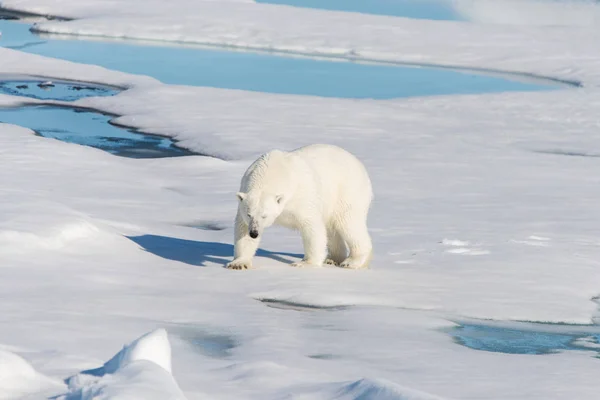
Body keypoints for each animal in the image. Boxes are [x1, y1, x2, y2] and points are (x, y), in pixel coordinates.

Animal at [227, 142, 372, 270]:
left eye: (264, 215)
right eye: (249, 214)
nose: (254, 233)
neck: (272, 171)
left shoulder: (302, 197)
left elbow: (312, 226)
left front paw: (304, 263)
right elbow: (242, 228)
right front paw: (239, 264)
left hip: (346, 192)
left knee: (348, 223)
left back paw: (352, 262)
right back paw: (332, 259)